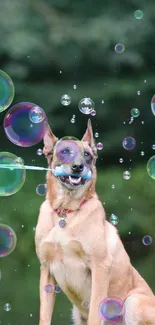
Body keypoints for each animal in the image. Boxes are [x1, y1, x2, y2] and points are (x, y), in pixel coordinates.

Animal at [34, 119, 155, 324]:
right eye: (64, 151)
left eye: (87, 155)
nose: (78, 167)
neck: (66, 213)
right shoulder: (46, 270)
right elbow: (44, 316)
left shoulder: (99, 266)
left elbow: (94, 314)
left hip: (133, 302)